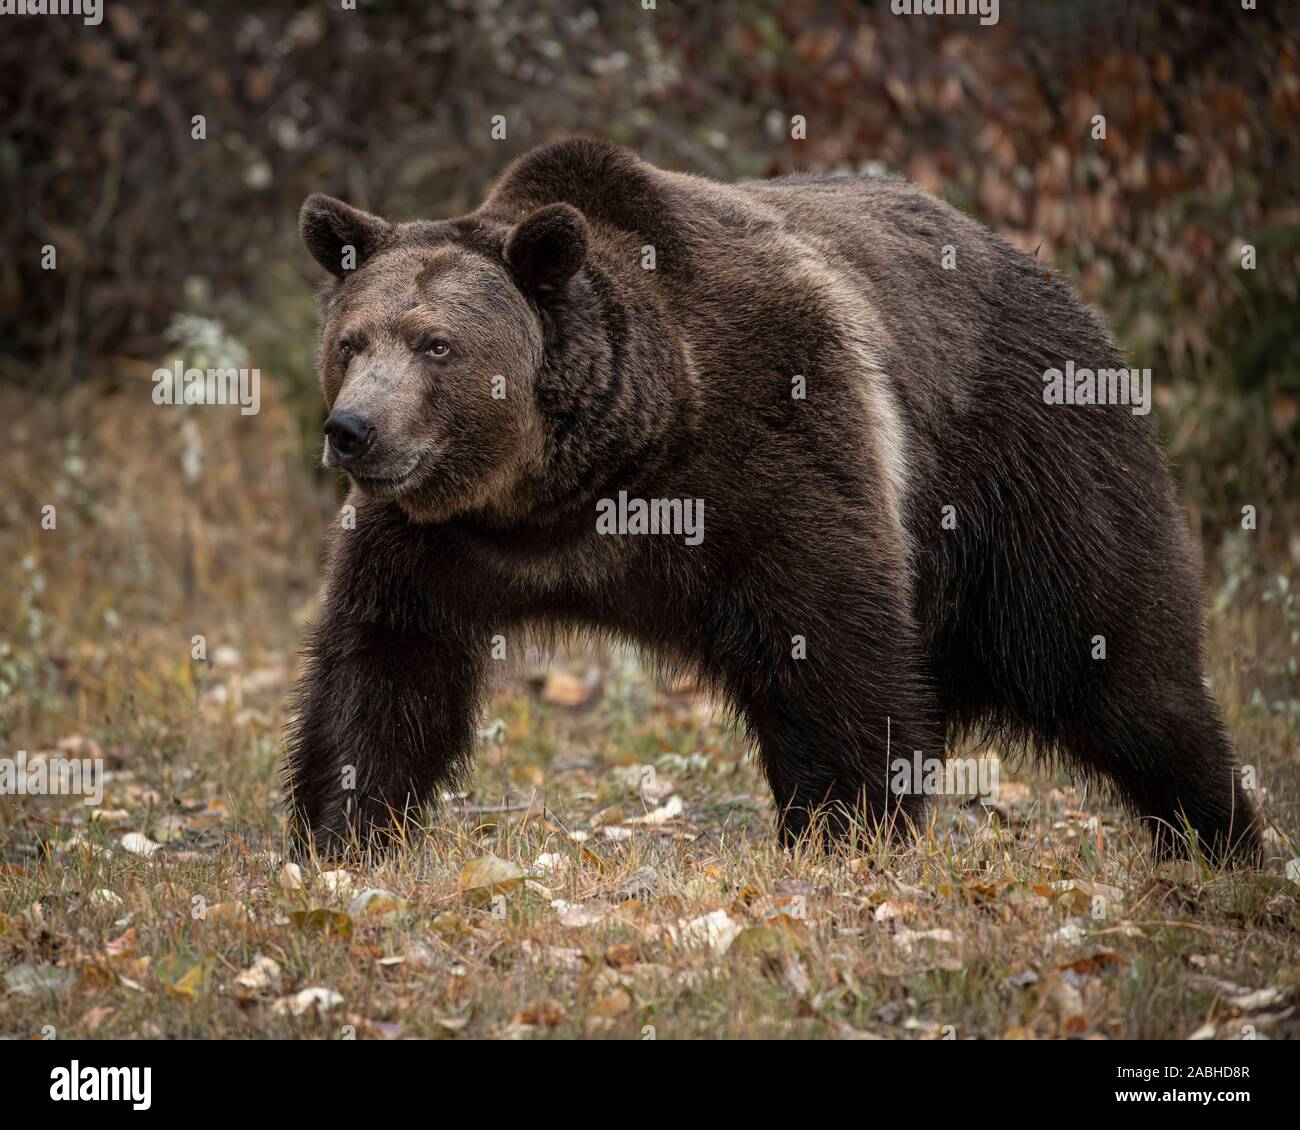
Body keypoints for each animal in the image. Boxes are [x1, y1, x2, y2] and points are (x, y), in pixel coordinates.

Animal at [285, 136, 1261, 865]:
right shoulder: (438, 538)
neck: (577, 482)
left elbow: (830, 648)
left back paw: (1219, 836)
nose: (354, 430)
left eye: (437, 345)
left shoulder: (773, 442)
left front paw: (842, 831)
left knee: (1116, 666)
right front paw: (342, 831)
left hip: (1029, 466)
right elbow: (387, 665)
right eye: (351, 339)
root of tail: (1048, 278)